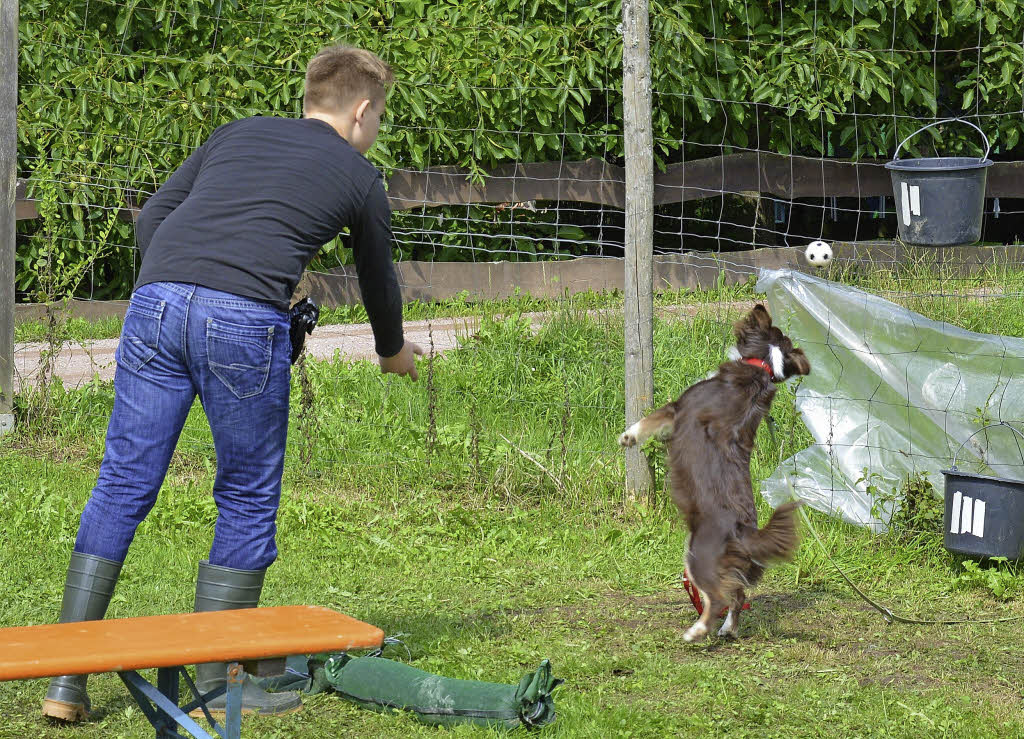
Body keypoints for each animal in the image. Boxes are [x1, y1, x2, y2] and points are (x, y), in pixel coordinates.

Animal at [618, 302, 811, 634]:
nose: (759, 304)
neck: (762, 365)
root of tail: (745, 533)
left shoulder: (678, 407)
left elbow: (648, 420)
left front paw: (629, 437)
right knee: (737, 594)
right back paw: (727, 629)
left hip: (697, 556)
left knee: (719, 596)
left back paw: (697, 631)